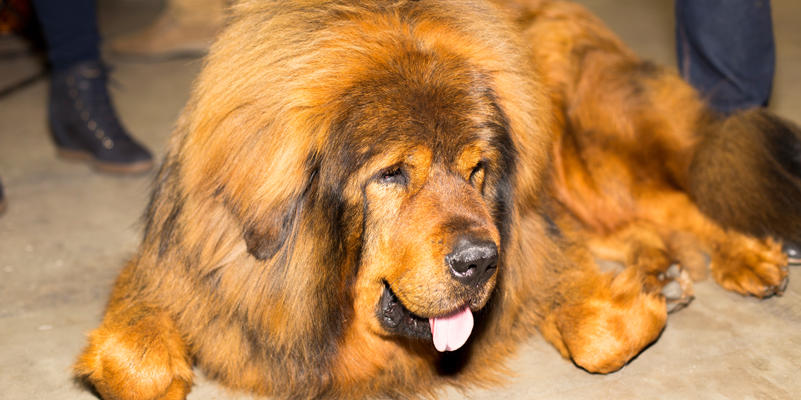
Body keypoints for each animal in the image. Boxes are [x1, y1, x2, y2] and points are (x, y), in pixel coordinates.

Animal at [74, 1, 799, 398]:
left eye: (478, 170)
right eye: (393, 174)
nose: (480, 262)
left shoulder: (528, 238)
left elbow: (597, 336)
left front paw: (629, 301)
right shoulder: (175, 270)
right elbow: (136, 368)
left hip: (589, 150)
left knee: (680, 197)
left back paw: (743, 257)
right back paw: (662, 262)